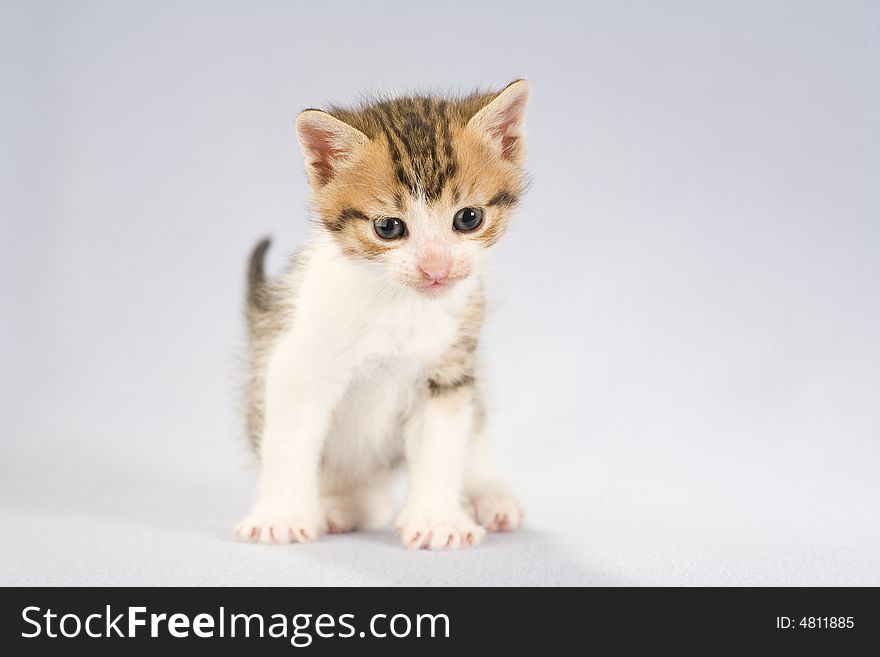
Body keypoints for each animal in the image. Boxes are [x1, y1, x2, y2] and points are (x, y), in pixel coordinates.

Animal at [235, 78, 528, 548]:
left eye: (469, 218)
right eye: (388, 227)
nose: (435, 268)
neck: (401, 307)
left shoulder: (449, 374)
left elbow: (442, 448)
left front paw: (437, 520)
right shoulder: (295, 365)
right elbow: (288, 444)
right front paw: (280, 517)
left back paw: (489, 496)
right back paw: (337, 507)